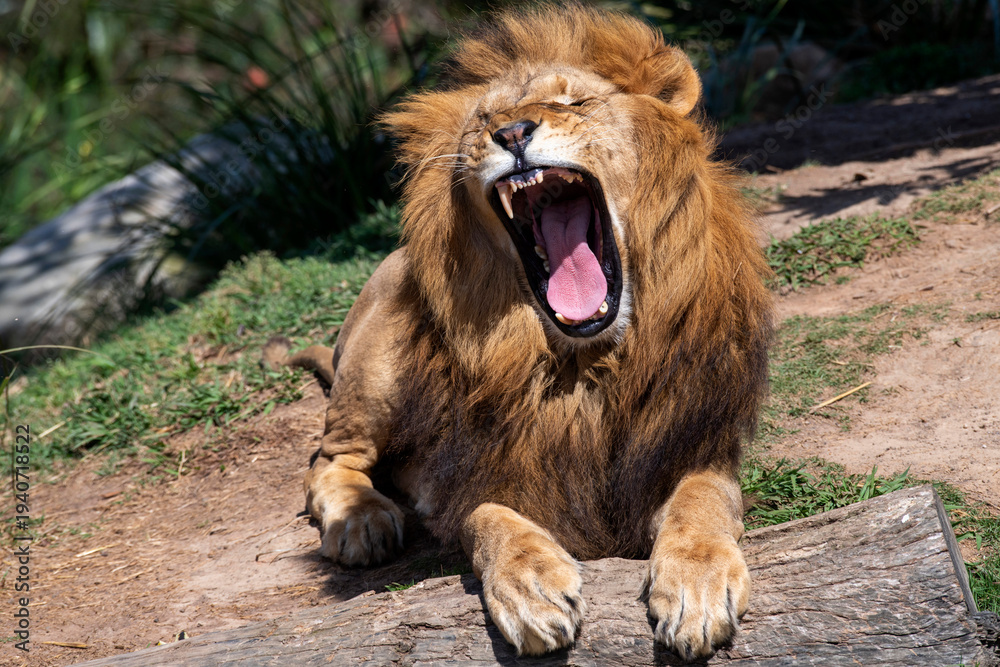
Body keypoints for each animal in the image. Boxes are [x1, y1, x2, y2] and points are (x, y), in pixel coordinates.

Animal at [263, 4, 772, 661]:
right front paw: (530, 587)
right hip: (377, 366)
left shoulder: (693, 445)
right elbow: (491, 517)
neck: (583, 365)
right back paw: (361, 521)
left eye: (573, 102)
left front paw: (696, 588)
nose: (511, 134)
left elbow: (703, 503)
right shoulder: (474, 476)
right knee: (328, 459)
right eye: (483, 122)